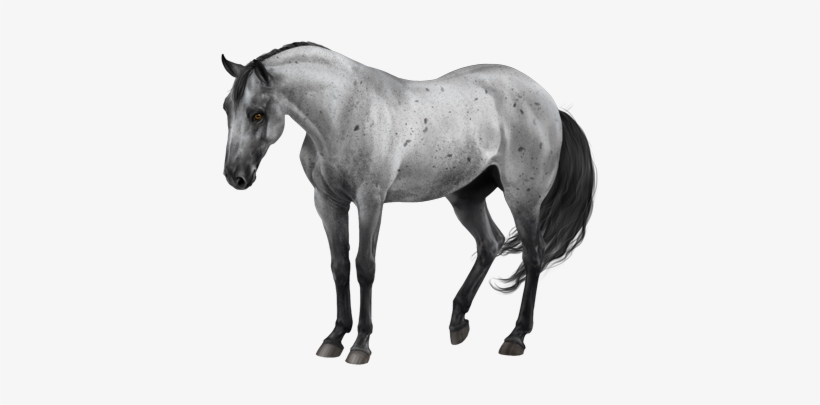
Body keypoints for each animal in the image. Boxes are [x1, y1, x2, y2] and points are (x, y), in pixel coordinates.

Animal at [221, 42, 595, 364]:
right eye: (226, 108)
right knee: (491, 243)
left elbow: (364, 267)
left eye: (257, 114)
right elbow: (339, 266)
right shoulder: (328, 203)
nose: (235, 176)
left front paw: (361, 344)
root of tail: (549, 103)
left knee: (534, 256)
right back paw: (458, 321)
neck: (343, 111)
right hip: (465, 197)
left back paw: (515, 336)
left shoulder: (370, 201)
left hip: (523, 198)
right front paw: (334, 337)